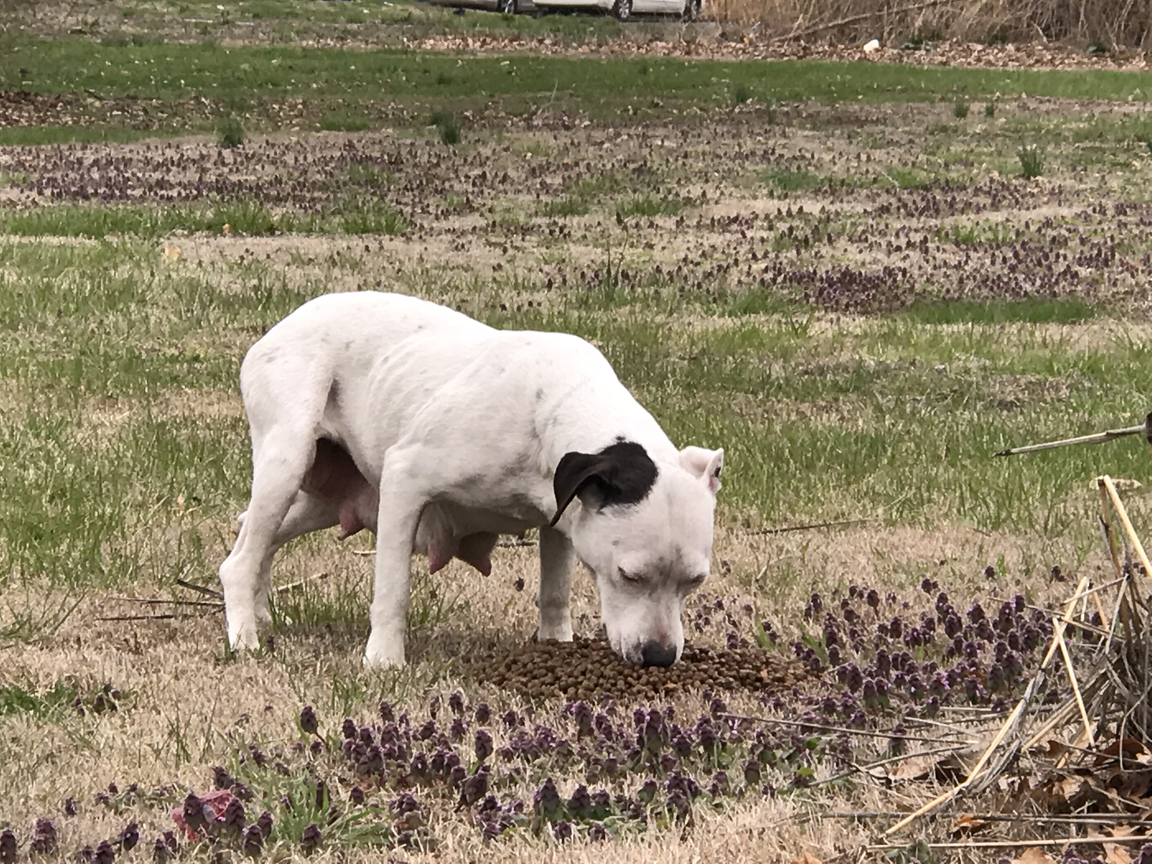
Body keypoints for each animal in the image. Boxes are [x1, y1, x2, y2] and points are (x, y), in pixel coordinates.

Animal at [217, 292, 718, 668]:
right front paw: (384, 660)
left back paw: (259, 613)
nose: (659, 656)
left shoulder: (564, 517)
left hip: (321, 501)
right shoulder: (405, 480)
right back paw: (244, 637)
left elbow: (554, 592)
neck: (554, 409)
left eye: (694, 581)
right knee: (239, 560)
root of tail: (281, 327)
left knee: (257, 540)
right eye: (629, 575)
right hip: (288, 462)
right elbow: (393, 589)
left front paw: (556, 645)